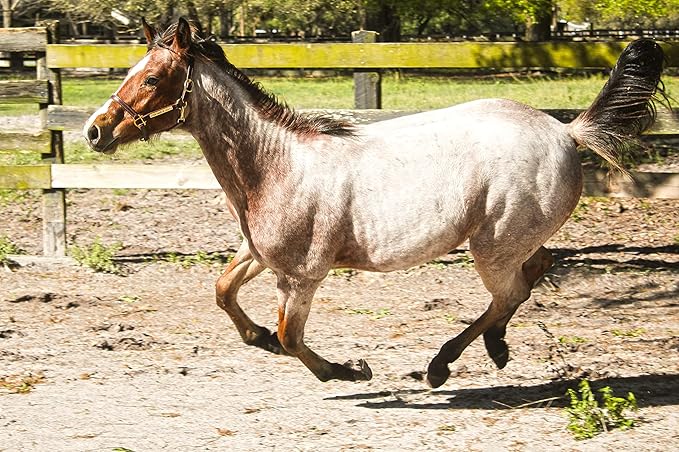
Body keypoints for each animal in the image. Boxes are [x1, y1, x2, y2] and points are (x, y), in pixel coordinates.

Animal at [84, 18, 666, 388]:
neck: (275, 166)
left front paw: (348, 370)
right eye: (130, 71)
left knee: (512, 291)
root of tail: (566, 130)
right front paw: (259, 340)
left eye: (152, 77)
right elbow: (224, 293)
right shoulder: (259, 254)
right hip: (512, 240)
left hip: (492, 247)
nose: (95, 130)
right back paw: (493, 349)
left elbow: (291, 337)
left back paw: (442, 365)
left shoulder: (301, 274)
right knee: (536, 269)